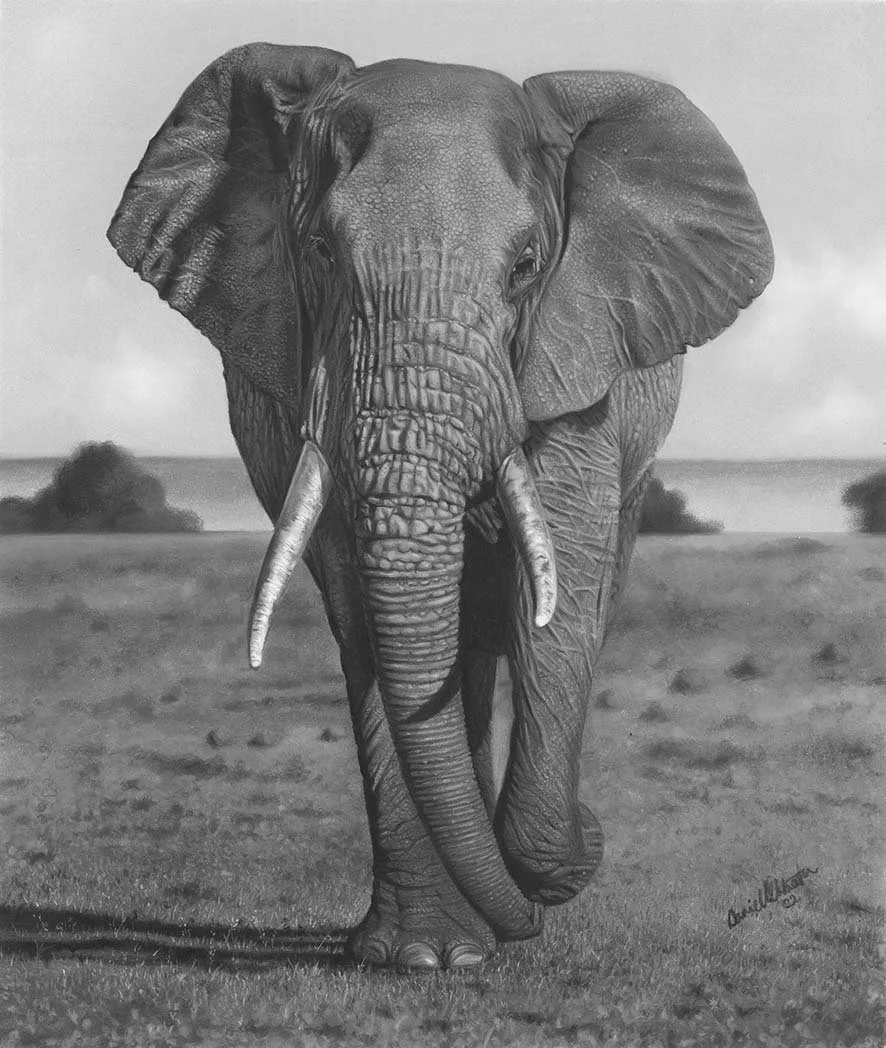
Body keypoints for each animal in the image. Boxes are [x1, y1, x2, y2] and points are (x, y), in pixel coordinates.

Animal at [108, 44, 773, 970]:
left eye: (527, 267)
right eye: (320, 251)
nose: (597, 830)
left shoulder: (575, 358)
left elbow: (559, 586)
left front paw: (541, 867)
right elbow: (362, 606)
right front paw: (423, 957)